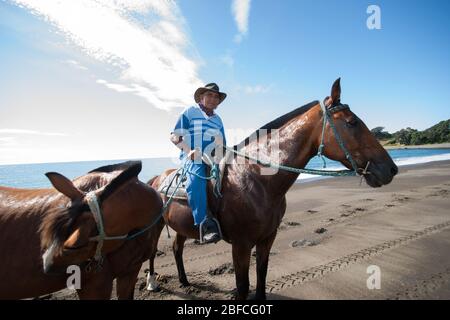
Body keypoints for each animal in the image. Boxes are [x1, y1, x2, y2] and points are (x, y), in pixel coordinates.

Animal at [148, 78, 398, 300]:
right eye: (351, 122)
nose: (391, 169)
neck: (257, 180)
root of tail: (156, 179)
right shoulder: (241, 245)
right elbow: (242, 286)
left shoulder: (268, 238)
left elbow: (261, 275)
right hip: (156, 227)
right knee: (151, 253)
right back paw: (152, 283)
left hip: (180, 228)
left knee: (176, 248)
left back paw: (184, 280)